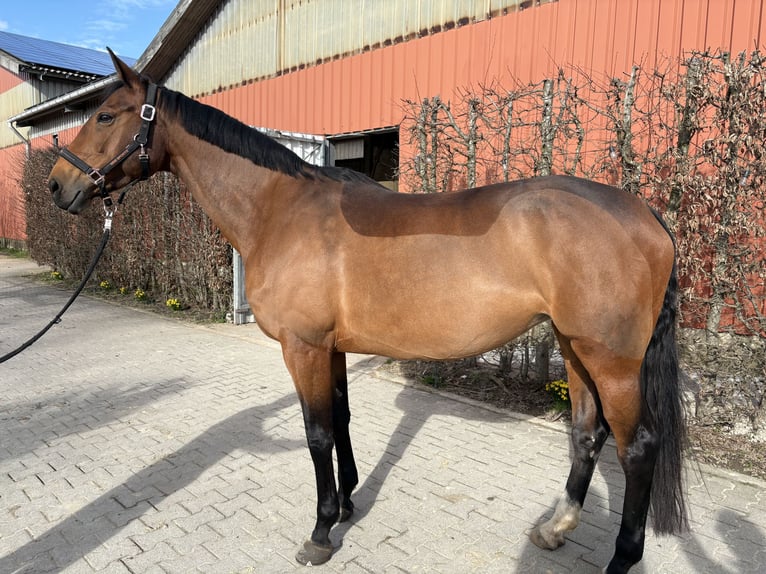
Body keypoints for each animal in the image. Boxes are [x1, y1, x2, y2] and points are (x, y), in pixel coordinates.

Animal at [47, 51, 687, 573]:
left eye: (107, 116)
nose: (56, 185)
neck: (281, 210)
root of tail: (644, 214)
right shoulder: (330, 348)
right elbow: (341, 420)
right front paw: (348, 504)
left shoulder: (303, 347)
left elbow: (316, 433)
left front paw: (320, 531)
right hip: (575, 348)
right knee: (586, 433)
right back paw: (556, 528)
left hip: (612, 362)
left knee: (637, 448)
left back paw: (620, 557)